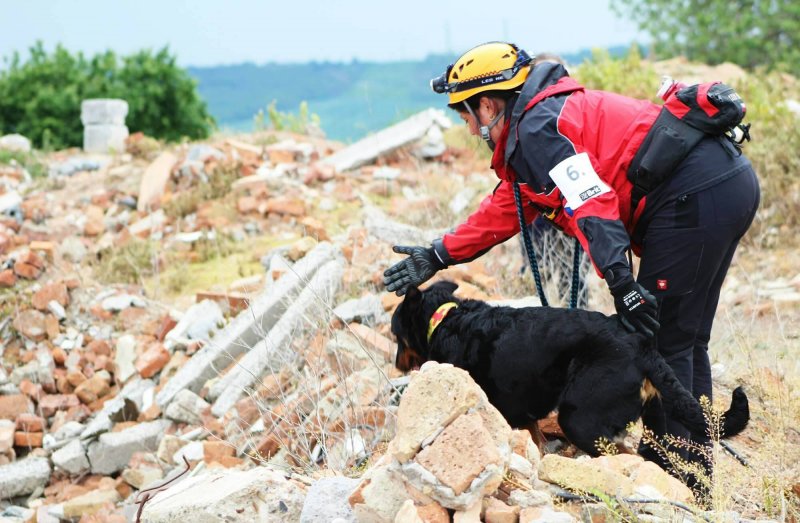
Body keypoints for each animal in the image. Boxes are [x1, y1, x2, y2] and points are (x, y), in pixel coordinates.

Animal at [390, 280, 748, 456]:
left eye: (395, 335)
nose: (394, 365)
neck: (447, 319)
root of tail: (641, 345)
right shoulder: (523, 412)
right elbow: (535, 438)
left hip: (580, 418)